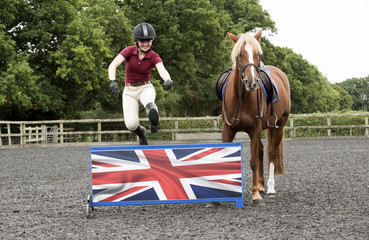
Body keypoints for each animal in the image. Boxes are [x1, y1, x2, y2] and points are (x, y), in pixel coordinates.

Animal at [221, 29, 290, 202]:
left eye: (258, 54)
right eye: (239, 55)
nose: (251, 82)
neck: (242, 98)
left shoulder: (255, 128)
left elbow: (253, 161)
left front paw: (255, 194)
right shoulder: (227, 129)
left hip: (279, 125)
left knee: (271, 153)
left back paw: (269, 188)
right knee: (261, 151)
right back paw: (261, 184)